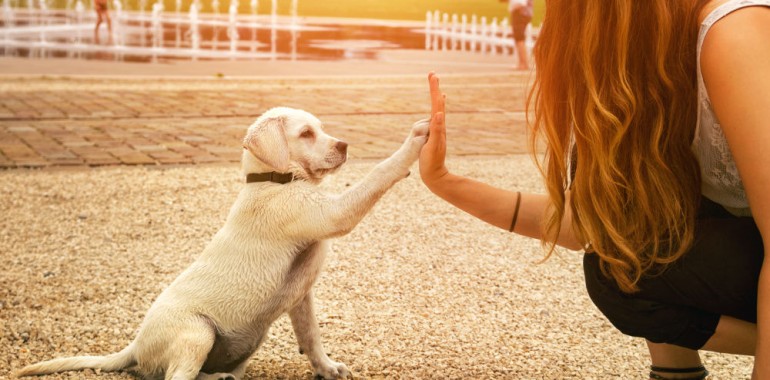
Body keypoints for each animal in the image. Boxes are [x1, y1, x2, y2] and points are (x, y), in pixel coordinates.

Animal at [16, 107, 432, 380]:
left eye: (322, 129)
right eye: (305, 134)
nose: (345, 145)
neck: (273, 180)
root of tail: (135, 345)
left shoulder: (302, 296)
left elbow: (311, 336)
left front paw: (327, 368)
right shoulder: (333, 213)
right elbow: (379, 174)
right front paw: (415, 140)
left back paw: (222, 377)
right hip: (197, 331)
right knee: (176, 377)